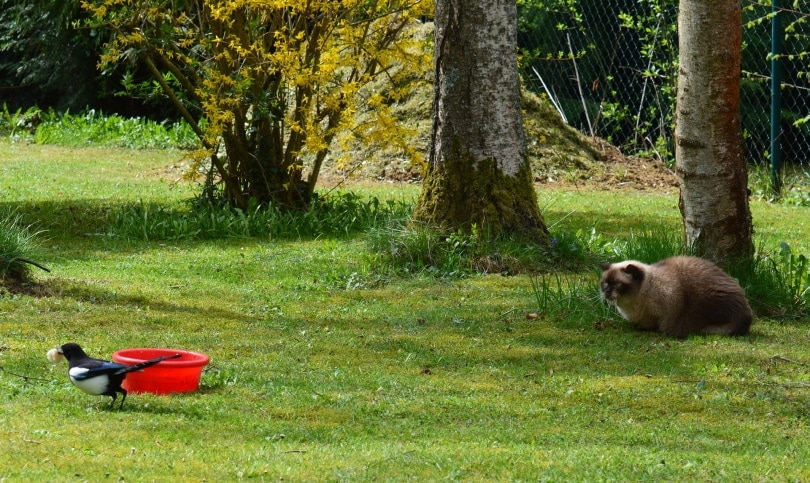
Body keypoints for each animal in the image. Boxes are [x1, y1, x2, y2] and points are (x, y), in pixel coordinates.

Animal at [596, 255, 756, 338]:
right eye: (605, 283)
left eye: (617, 284)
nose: (607, 291)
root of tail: (747, 317)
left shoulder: (659, 310)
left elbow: (651, 323)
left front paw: (643, 328)